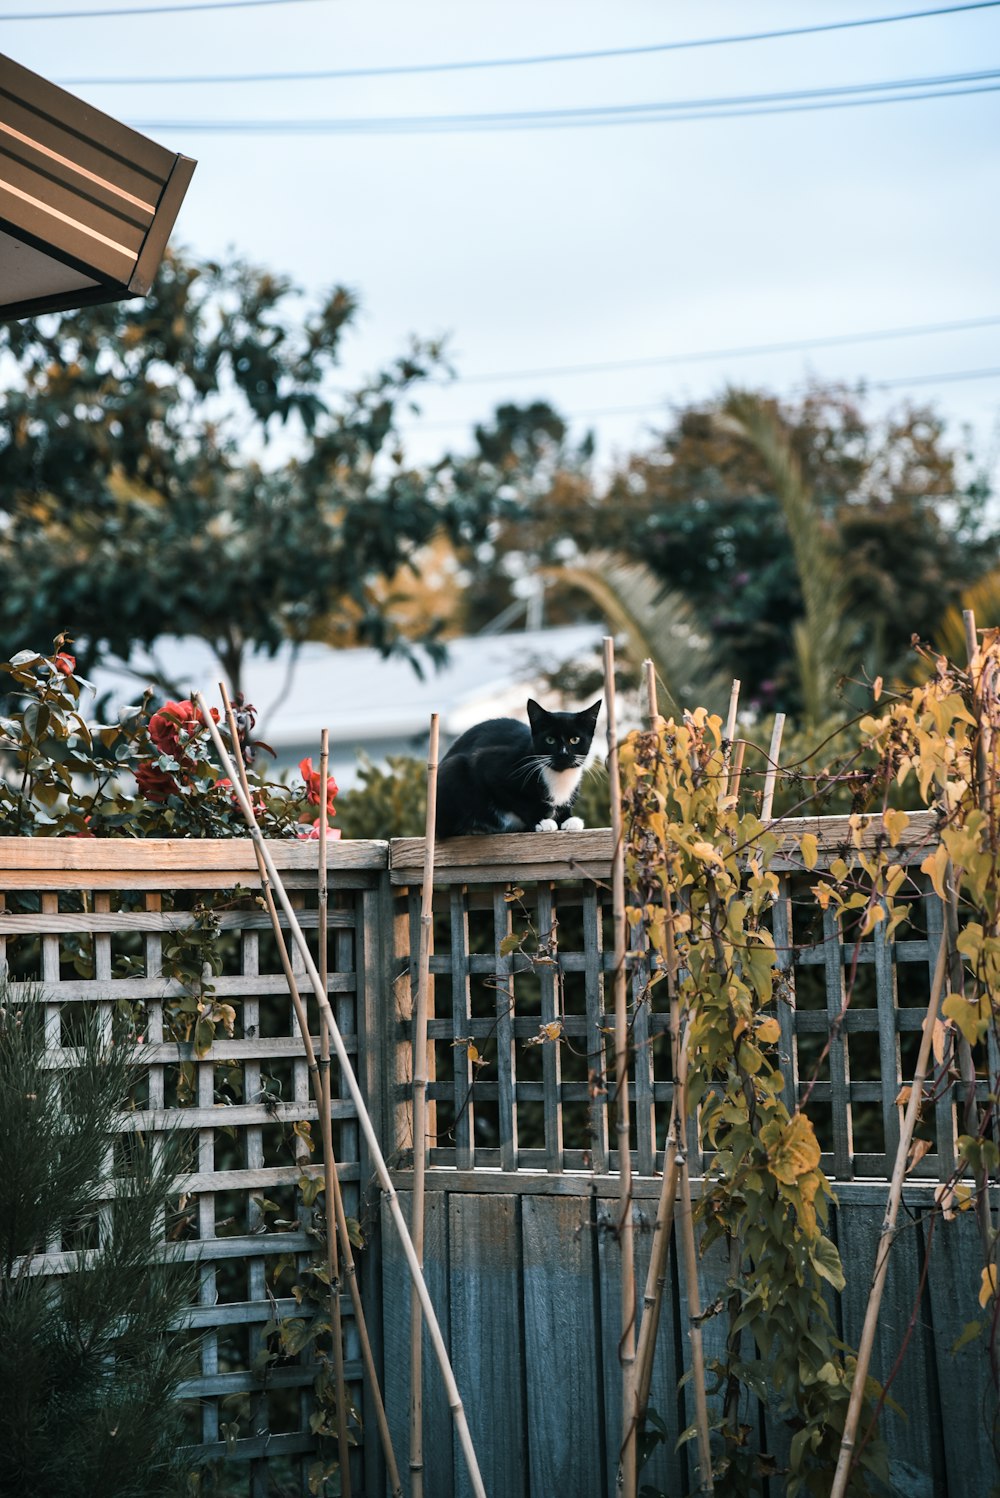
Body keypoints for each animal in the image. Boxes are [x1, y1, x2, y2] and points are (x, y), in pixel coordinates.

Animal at [434, 695, 598, 838]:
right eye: (550, 740)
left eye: (575, 739)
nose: (564, 754)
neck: (558, 775)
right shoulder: (490, 765)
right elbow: (518, 801)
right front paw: (540, 821)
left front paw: (568, 819)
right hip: (453, 768)